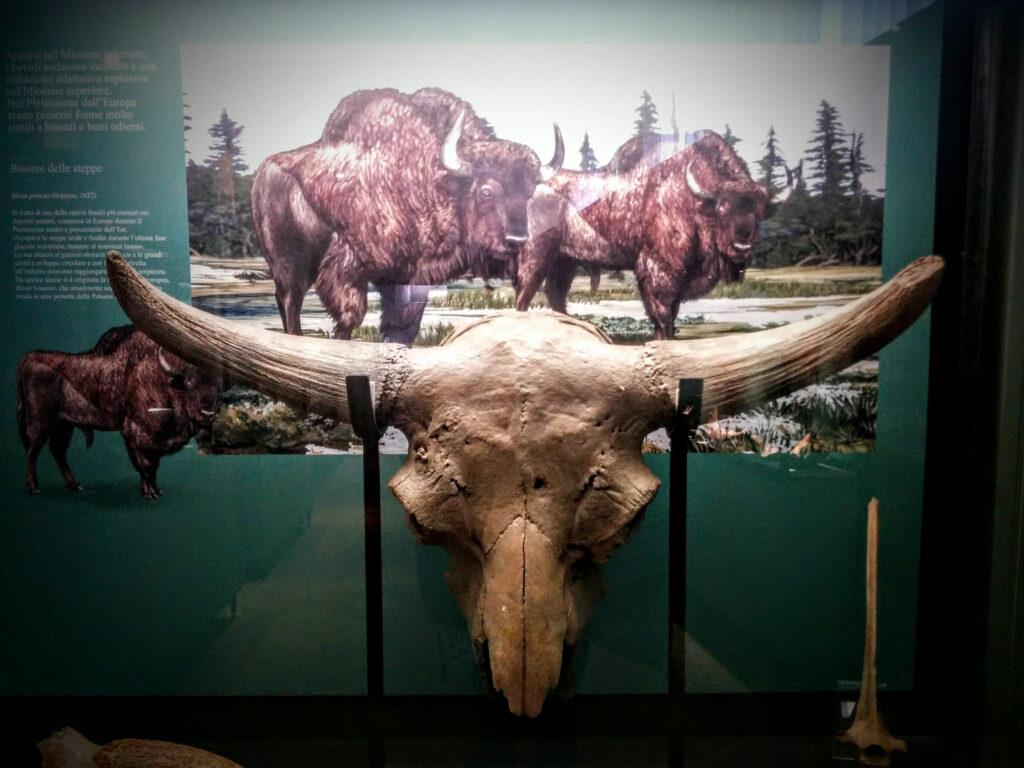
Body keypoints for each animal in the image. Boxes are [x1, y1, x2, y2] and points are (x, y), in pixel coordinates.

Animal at [251, 87, 565, 339]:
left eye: (528, 192)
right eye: (486, 191)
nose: (516, 240)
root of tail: (263, 171)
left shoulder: (410, 278)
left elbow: (402, 327)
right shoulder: (349, 269)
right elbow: (350, 317)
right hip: (289, 266)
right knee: (291, 303)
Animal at [512, 132, 790, 339]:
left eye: (759, 213)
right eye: (722, 209)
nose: (741, 245)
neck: (693, 199)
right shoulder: (658, 272)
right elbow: (663, 318)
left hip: (564, 261)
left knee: (554, 294)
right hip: (536, 255)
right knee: (524, 295)